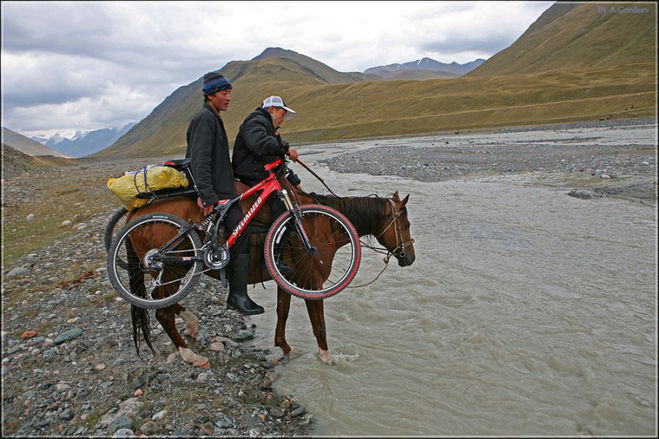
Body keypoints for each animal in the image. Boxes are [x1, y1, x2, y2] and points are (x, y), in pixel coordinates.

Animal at [120, 181, 416, 368]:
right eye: (406, 224)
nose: (410, 258)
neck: (322, 224)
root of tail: (135, 213)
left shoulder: (290, 281)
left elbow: (282, 312)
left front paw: (286, 348)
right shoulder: (313, 283)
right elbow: (319, 325)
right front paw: (326, 359)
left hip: (172, 273)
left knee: (163, 303)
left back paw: (192, 324)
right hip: (172, 268)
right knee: (162, 312)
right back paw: (190, 355)